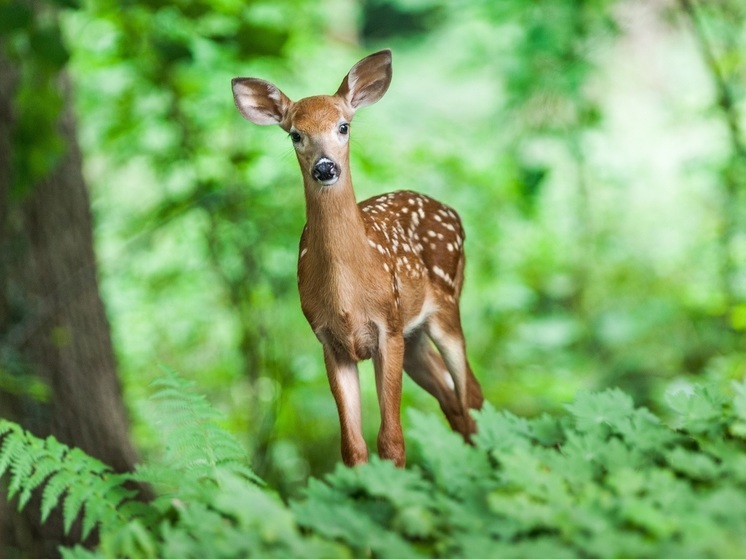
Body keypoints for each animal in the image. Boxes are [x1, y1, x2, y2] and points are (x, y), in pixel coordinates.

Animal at [230, 49, 482, 468]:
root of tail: (452, 212)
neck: (348, 295)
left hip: (445, 306)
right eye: (295, 134)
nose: (325, 167)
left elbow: (392, 441)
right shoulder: (329, 341)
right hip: (414, 336)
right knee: (453, 400)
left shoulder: (387, 328)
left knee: (470, 395)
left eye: (344, 126)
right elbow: (352, 447)